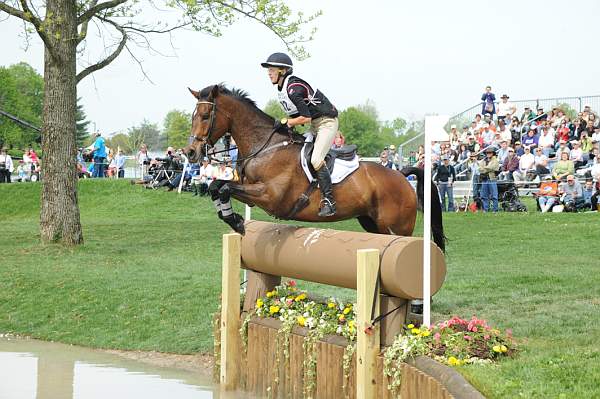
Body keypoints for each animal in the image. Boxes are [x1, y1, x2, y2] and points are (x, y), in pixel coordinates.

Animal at [186, 85, 446, 252]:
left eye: (206, 115)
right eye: (192, 116)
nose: (190, 152)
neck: (265, 146)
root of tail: (400, 175)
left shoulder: (271, 196)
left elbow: (225, 188)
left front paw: (237, 221)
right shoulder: (247, 186)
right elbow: (217, 186)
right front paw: (233, 218)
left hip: (397, 227)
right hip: (372, 223)